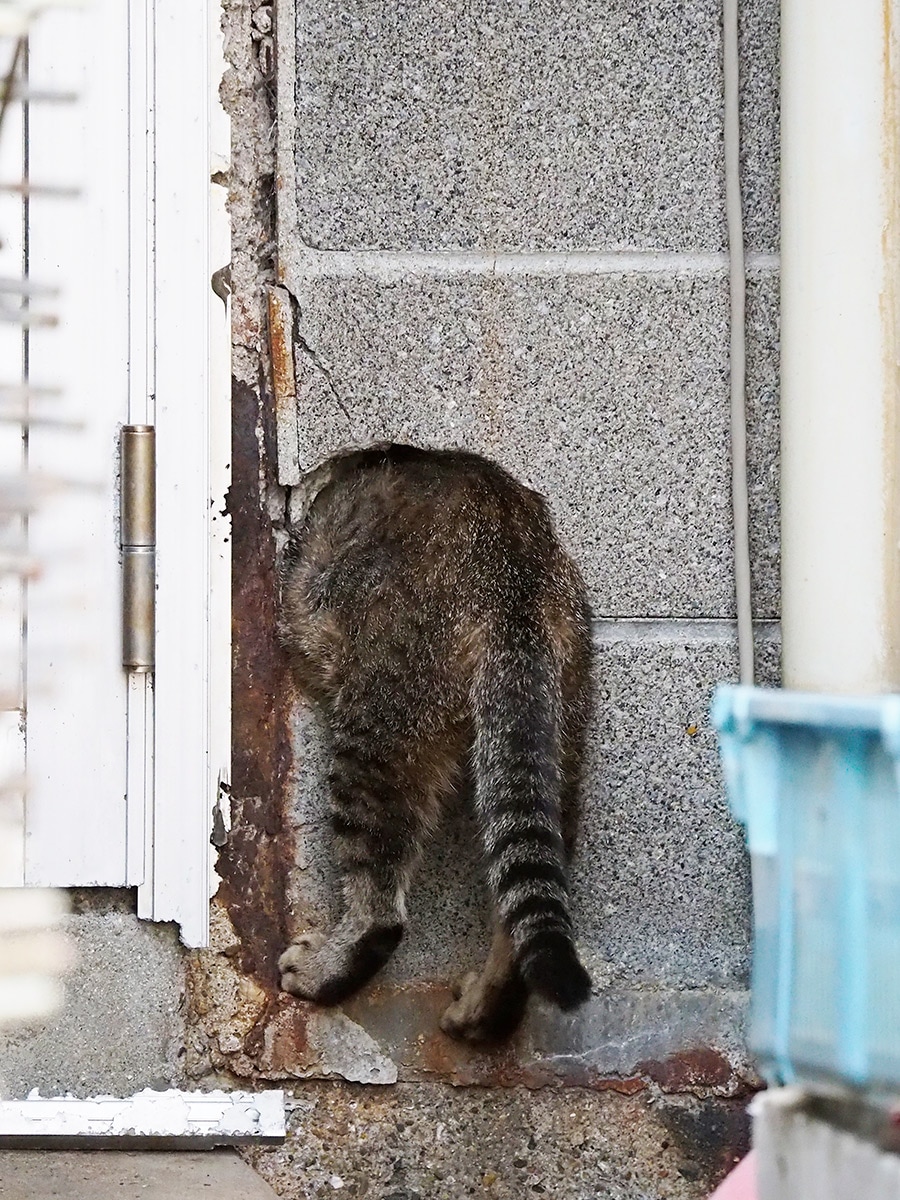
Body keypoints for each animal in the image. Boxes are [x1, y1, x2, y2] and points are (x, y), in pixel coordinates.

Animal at [278, 444, 595, 1041]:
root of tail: (510, 566)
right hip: (561, 713)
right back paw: (493, 999)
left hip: (386, 705)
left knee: (380, 897)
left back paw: (337, 960)